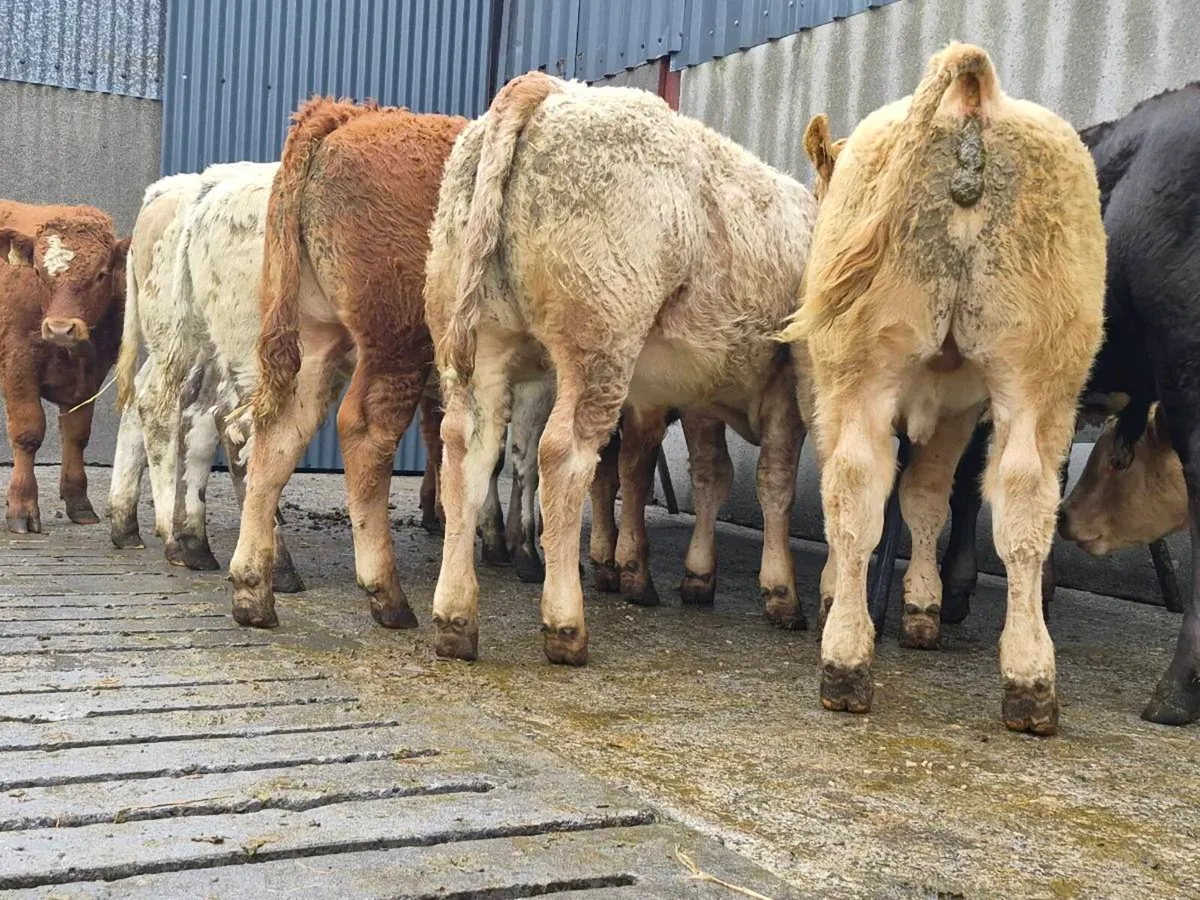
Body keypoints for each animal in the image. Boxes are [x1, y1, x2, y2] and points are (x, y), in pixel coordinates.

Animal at [0, 201, 129, 533]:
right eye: (37, 272)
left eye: (101, 274)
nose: (60, 328)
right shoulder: (18, 362)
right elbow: (28, 432)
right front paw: (22, 507)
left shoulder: (92, 374)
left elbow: (76, 434)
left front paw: (78, 502)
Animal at [239, 97, 468, 630]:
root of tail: (350, 114)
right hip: (399, 339)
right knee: (365, 432)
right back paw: (387, 595)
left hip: (314, 338)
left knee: (279, 432)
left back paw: (253, 591)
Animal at [426, 72, 816, 665]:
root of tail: (548, 88)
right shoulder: (784, 388)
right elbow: (774, 484)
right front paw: (782, 592)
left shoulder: (697, 391)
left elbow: (709, 475)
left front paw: (696, 577)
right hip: (601, 341)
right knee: (563, 457)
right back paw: (565, 623)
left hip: (480, 343)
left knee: (468, 451)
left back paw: (455, 619)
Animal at [781, 43, 1106, 735]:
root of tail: (974, 102)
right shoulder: (958, 410)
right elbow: (927, 497)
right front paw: (922, 608)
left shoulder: (824, 401)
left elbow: (903, 501)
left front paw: (850, 595)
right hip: (1039, 373)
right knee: (1024, 501)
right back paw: (1030, 680)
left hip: (858, 369)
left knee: (854, 489)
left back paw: (845, 661)